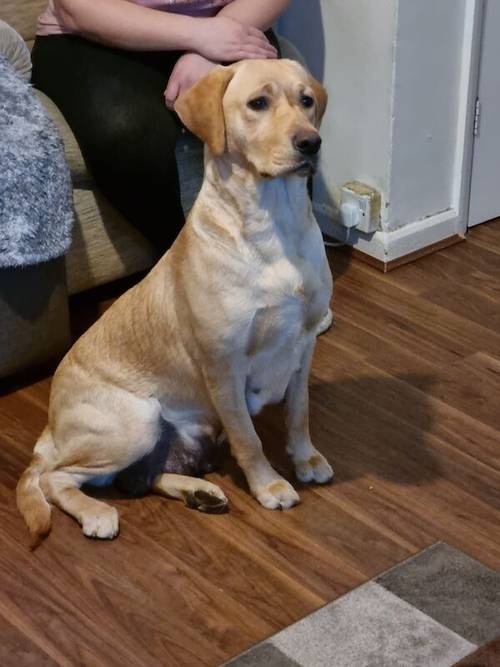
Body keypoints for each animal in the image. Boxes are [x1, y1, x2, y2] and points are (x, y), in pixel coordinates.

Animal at [17, 58, 334, 548]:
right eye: (257, 103)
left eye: (306, 100)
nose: (310, 143)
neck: (275, 224)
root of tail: (49, 431)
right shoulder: (224, 364)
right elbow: (249, 438)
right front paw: (270, 485)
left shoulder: (303, 343)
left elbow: (299, 413)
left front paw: (306, 459)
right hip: (136, 421)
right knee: (58, 478)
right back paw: (96, 514)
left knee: (138, 478)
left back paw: (200, 492)